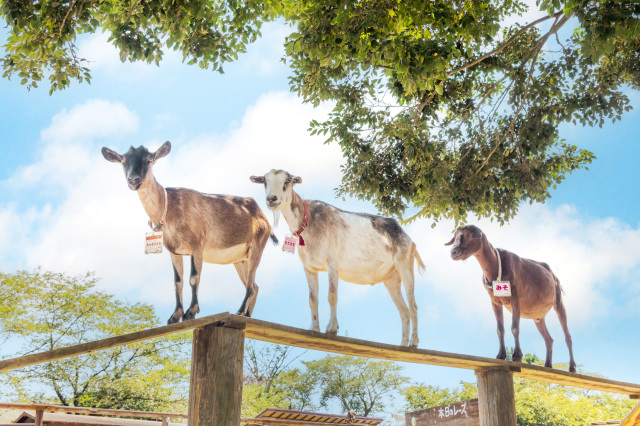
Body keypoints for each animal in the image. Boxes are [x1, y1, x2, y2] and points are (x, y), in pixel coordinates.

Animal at [102, 141, 278, 324]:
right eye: (123, 161)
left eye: (149, 159)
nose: (133, 179)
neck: (169, 207)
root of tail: (262, 216)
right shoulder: (174, 252)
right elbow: (177, 281)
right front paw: (175, 315)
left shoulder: (197, 245)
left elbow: (194, 278)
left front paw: (191, 312)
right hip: (240, 259)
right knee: (254, 286)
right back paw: (247, 316)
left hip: (257, 246)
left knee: (250, 284)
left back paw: (240, 311)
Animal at [250, 169, 424, 346]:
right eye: (265, 181)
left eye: (287, 181)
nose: (272, 199)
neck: (309, 220)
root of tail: (409, 238)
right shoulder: (309, 267)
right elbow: (312, 298)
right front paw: (314, 328)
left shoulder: (332, 263)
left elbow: (332, 295)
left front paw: (332, 328)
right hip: (391, 278)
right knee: (403, 311)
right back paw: (402, 345)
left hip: (405, 265)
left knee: (413, 306)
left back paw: (414, 342)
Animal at [444, 225, 576, 372]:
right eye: (455, 236)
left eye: (469, 235)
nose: (453, 252)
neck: (496, 267)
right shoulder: (495, 302)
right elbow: (500, 329)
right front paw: (501, 355)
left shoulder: (515, 299)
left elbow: (515, 328)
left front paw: (517, 356)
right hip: (538, 317)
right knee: (548, 339)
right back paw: (548, 365)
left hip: (558, 300)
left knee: (567, 335)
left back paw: (572, 367)